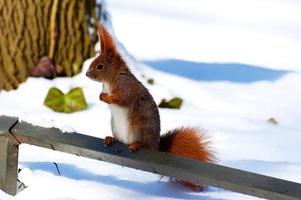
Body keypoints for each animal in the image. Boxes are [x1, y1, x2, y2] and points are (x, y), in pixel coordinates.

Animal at [85, 23, 214, 191]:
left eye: (100, 66)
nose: (87, 74)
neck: (112, 79)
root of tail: (156, 146)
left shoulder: (127, 89)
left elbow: (122, 100)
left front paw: (105, 97)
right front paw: (101, 96)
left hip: (141, 125)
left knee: (144, 144)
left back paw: (136, 144)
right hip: (115, 125)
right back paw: (111, 138)